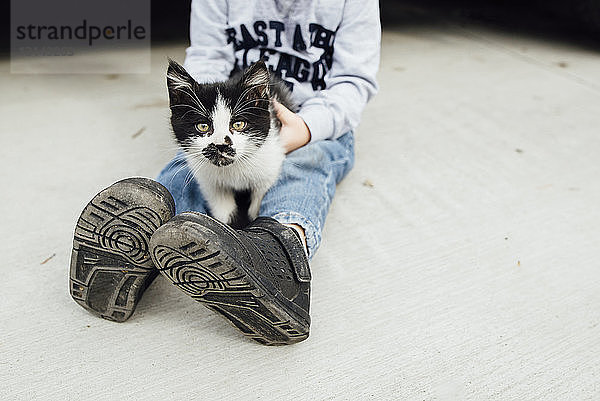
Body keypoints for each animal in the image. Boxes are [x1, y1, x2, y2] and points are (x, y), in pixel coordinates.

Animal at [166, 59, 296, 228]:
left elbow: (257, 202)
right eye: (203, 126)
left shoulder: (270, 168)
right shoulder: (209, 183)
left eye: (239, 124)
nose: (221, 145)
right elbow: (224, 211)